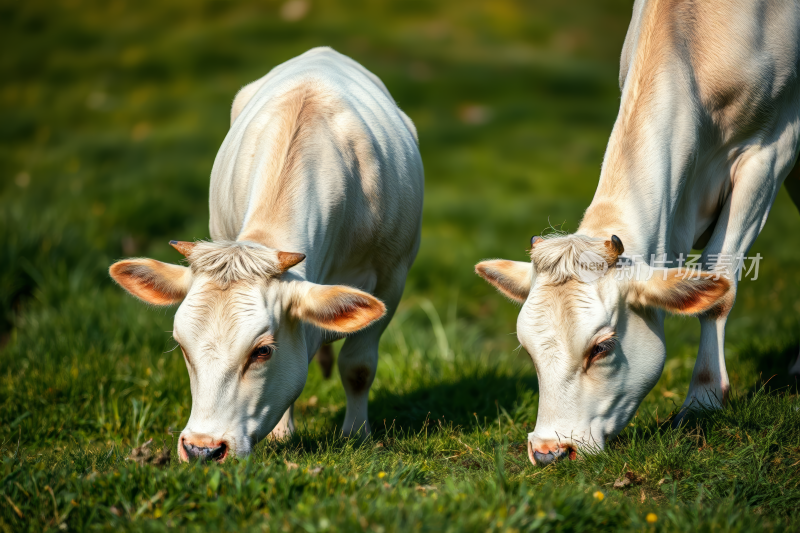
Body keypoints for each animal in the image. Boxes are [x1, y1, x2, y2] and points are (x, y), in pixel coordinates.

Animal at [112, 46, 428, 462]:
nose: (201, 449)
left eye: (262, 351)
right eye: (181, 345)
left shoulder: (392, 276)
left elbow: (358, 366)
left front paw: (356, 434)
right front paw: (281, 435)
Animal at [476, 0, 800, 464]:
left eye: (602, 347)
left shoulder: (772, 148)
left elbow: (719, 287)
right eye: (527, 348)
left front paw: (703, 400)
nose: (549, 451)